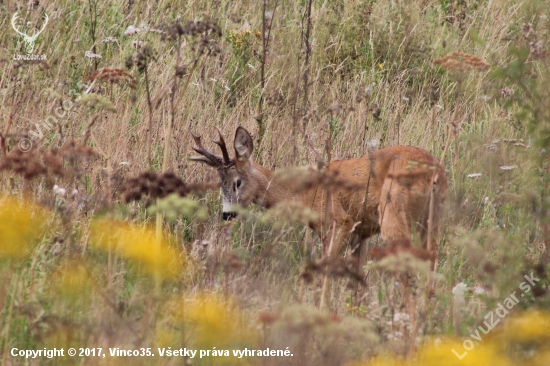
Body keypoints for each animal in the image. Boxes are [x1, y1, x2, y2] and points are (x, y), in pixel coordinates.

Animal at [191, 127, 448, 308]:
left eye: (237, 182)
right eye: (219, 183)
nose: (227, 214)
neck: (305, 193)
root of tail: (432, 173)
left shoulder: (341, 222)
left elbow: (325, 270)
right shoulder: (360, 234)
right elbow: (356, 283)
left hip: (394, 217)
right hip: (432, 222)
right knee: (431, 267)